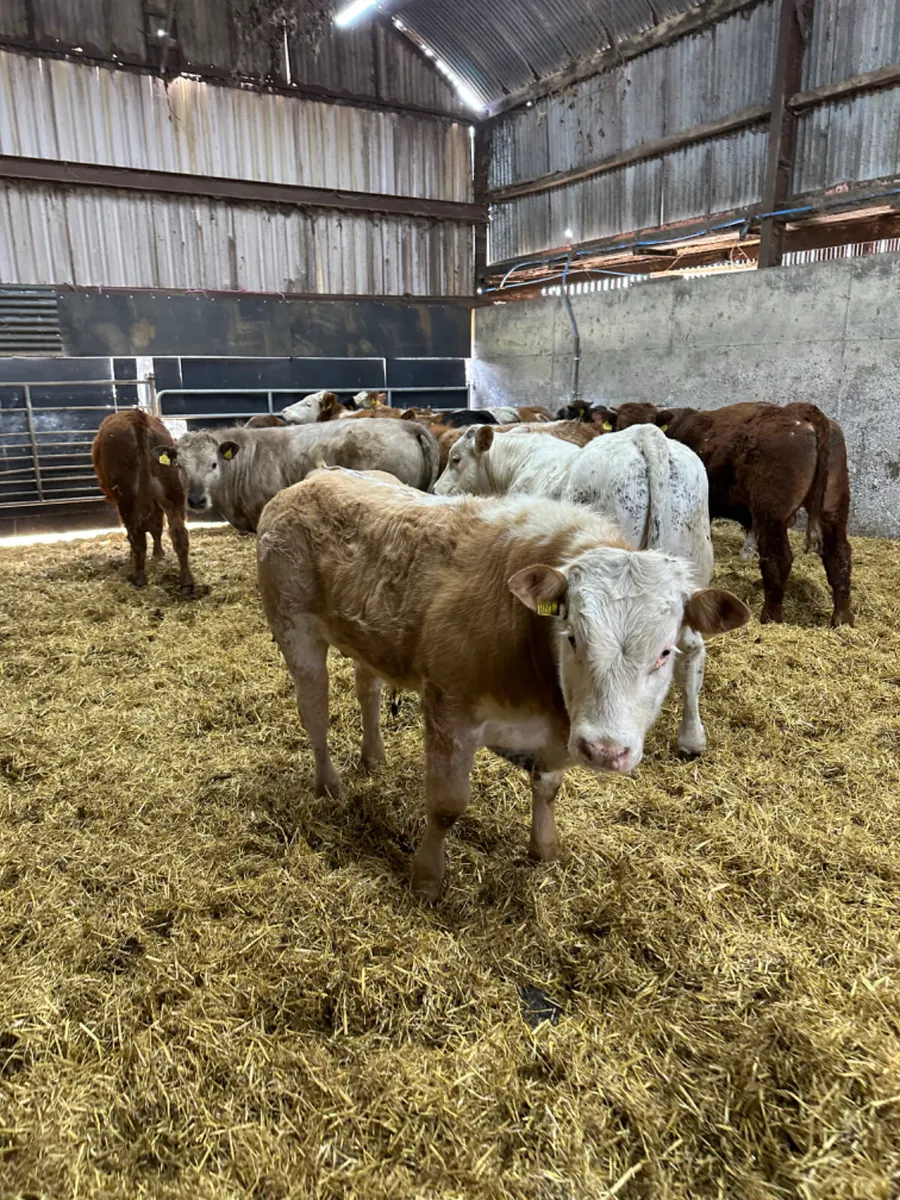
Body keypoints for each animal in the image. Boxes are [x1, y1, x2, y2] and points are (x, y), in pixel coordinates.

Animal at [91, 409, 195, 594]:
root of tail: (137, 416)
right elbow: (157, 526)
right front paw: (159, 553)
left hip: (127, 497)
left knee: (137, 537)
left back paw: (138, 577)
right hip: (172, 491)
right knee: (179, 534)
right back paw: (186, 581)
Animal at [257, 468, 750, 900]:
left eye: (665, 652)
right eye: (573, 636)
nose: (605, 751)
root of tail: (317, 476)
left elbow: (548, 790)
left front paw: (544, 849)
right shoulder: (450, 712)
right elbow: (447, 805)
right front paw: (427, 880)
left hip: (369, 640)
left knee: (368, 690)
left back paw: (373, 757)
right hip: (294, 629)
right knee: (315, 713)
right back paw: (329, 784)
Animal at [434, 423, 717, 757]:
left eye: (455, 459)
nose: (436, 490)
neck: (515, 464)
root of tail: (645, 435)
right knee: (693, 651)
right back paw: (691, 738)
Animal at [611, 401, 853, 627]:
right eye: (619, 425)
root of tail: (800, 411)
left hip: (771, 513)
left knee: (778, 560)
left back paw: (770, 617)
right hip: (832, 509)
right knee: (838, 555)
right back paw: (842, 620)